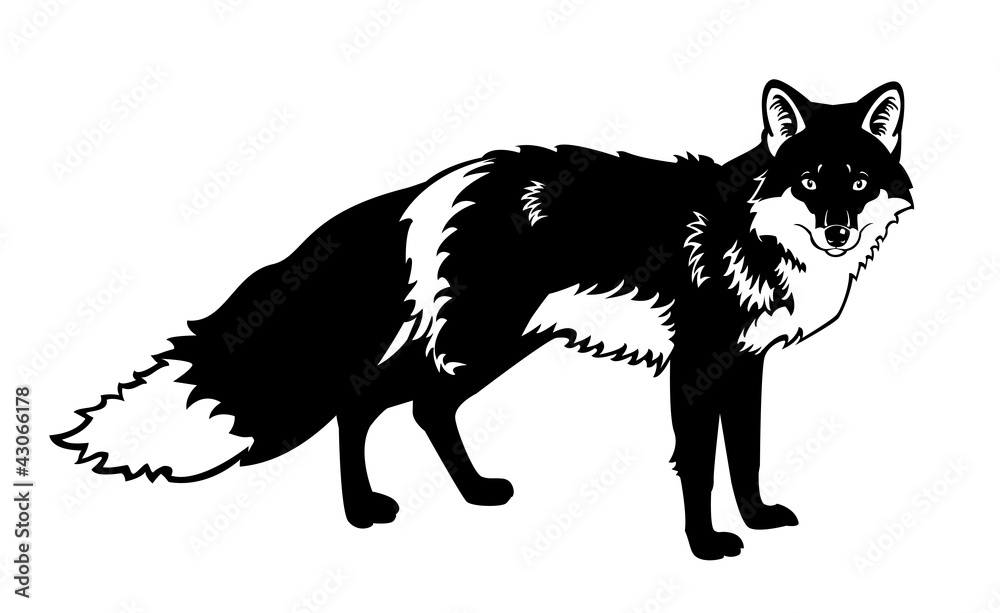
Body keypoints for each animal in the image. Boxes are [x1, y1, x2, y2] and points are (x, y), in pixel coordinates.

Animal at [52, 80, 912, 559]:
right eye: (809, 181)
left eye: (859, 181)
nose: (838, 230)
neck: (754, 231)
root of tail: (429, 188)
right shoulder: (698, 367)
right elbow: (698, 468)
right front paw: (705, 547)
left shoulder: (747, 365)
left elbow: (746, 458)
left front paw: (759, 520)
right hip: (482, 339)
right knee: (361, 401)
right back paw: (363, 511)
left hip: (493, 347)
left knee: (420, 406)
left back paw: (470, 493)